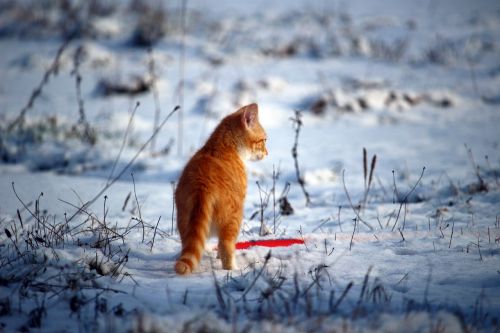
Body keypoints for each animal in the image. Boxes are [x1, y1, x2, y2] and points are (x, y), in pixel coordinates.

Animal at [174, 102, 268, 274]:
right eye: (264, 140)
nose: (267, 153)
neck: (223, 145)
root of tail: (203, 186)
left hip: (183, 221)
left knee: (191, 243)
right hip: (233, 219)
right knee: (226, 246)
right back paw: (233, 269)